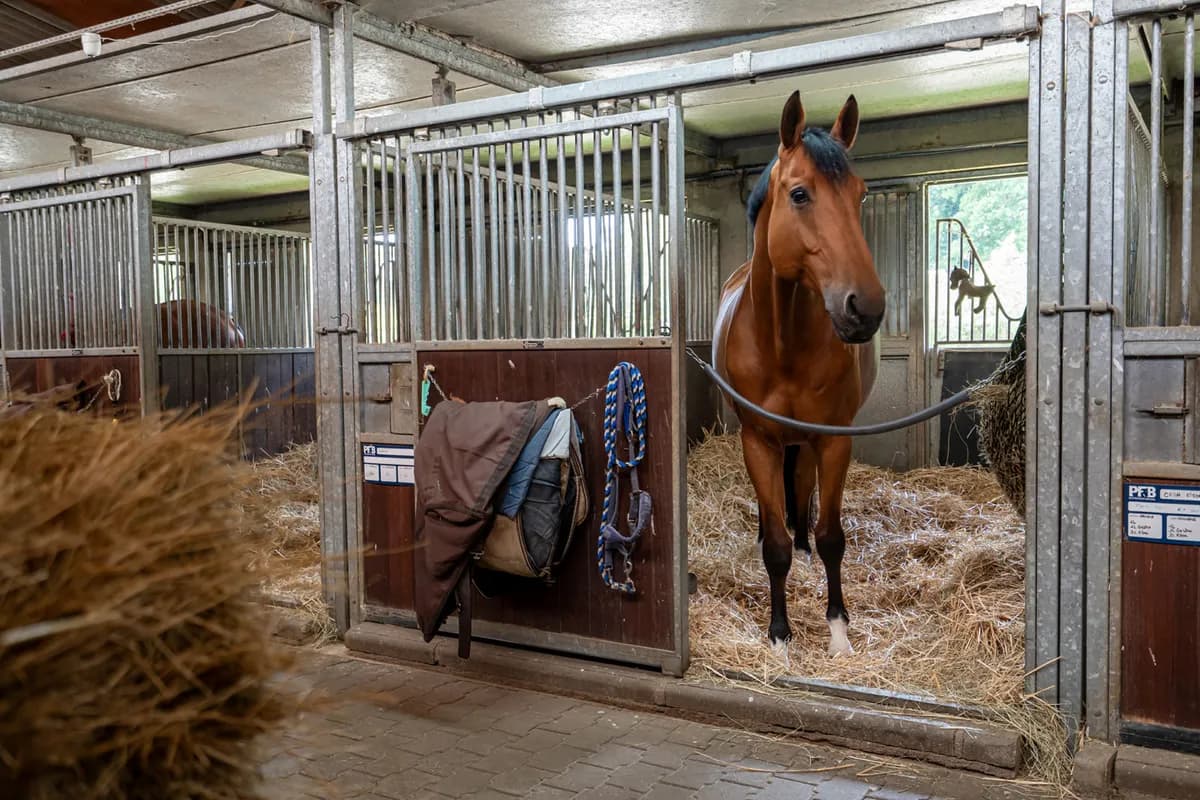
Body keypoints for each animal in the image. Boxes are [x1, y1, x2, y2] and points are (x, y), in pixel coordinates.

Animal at [712, 92, 885, 655]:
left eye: (860, 194)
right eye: (800, 194)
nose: (865, 309)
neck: (783, 343)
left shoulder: (832, 440)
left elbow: (832, 535)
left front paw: (838, 630)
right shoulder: (758, 441)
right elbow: (775, 546)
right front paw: (780, 634)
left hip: (808, 443)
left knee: (805, 496)